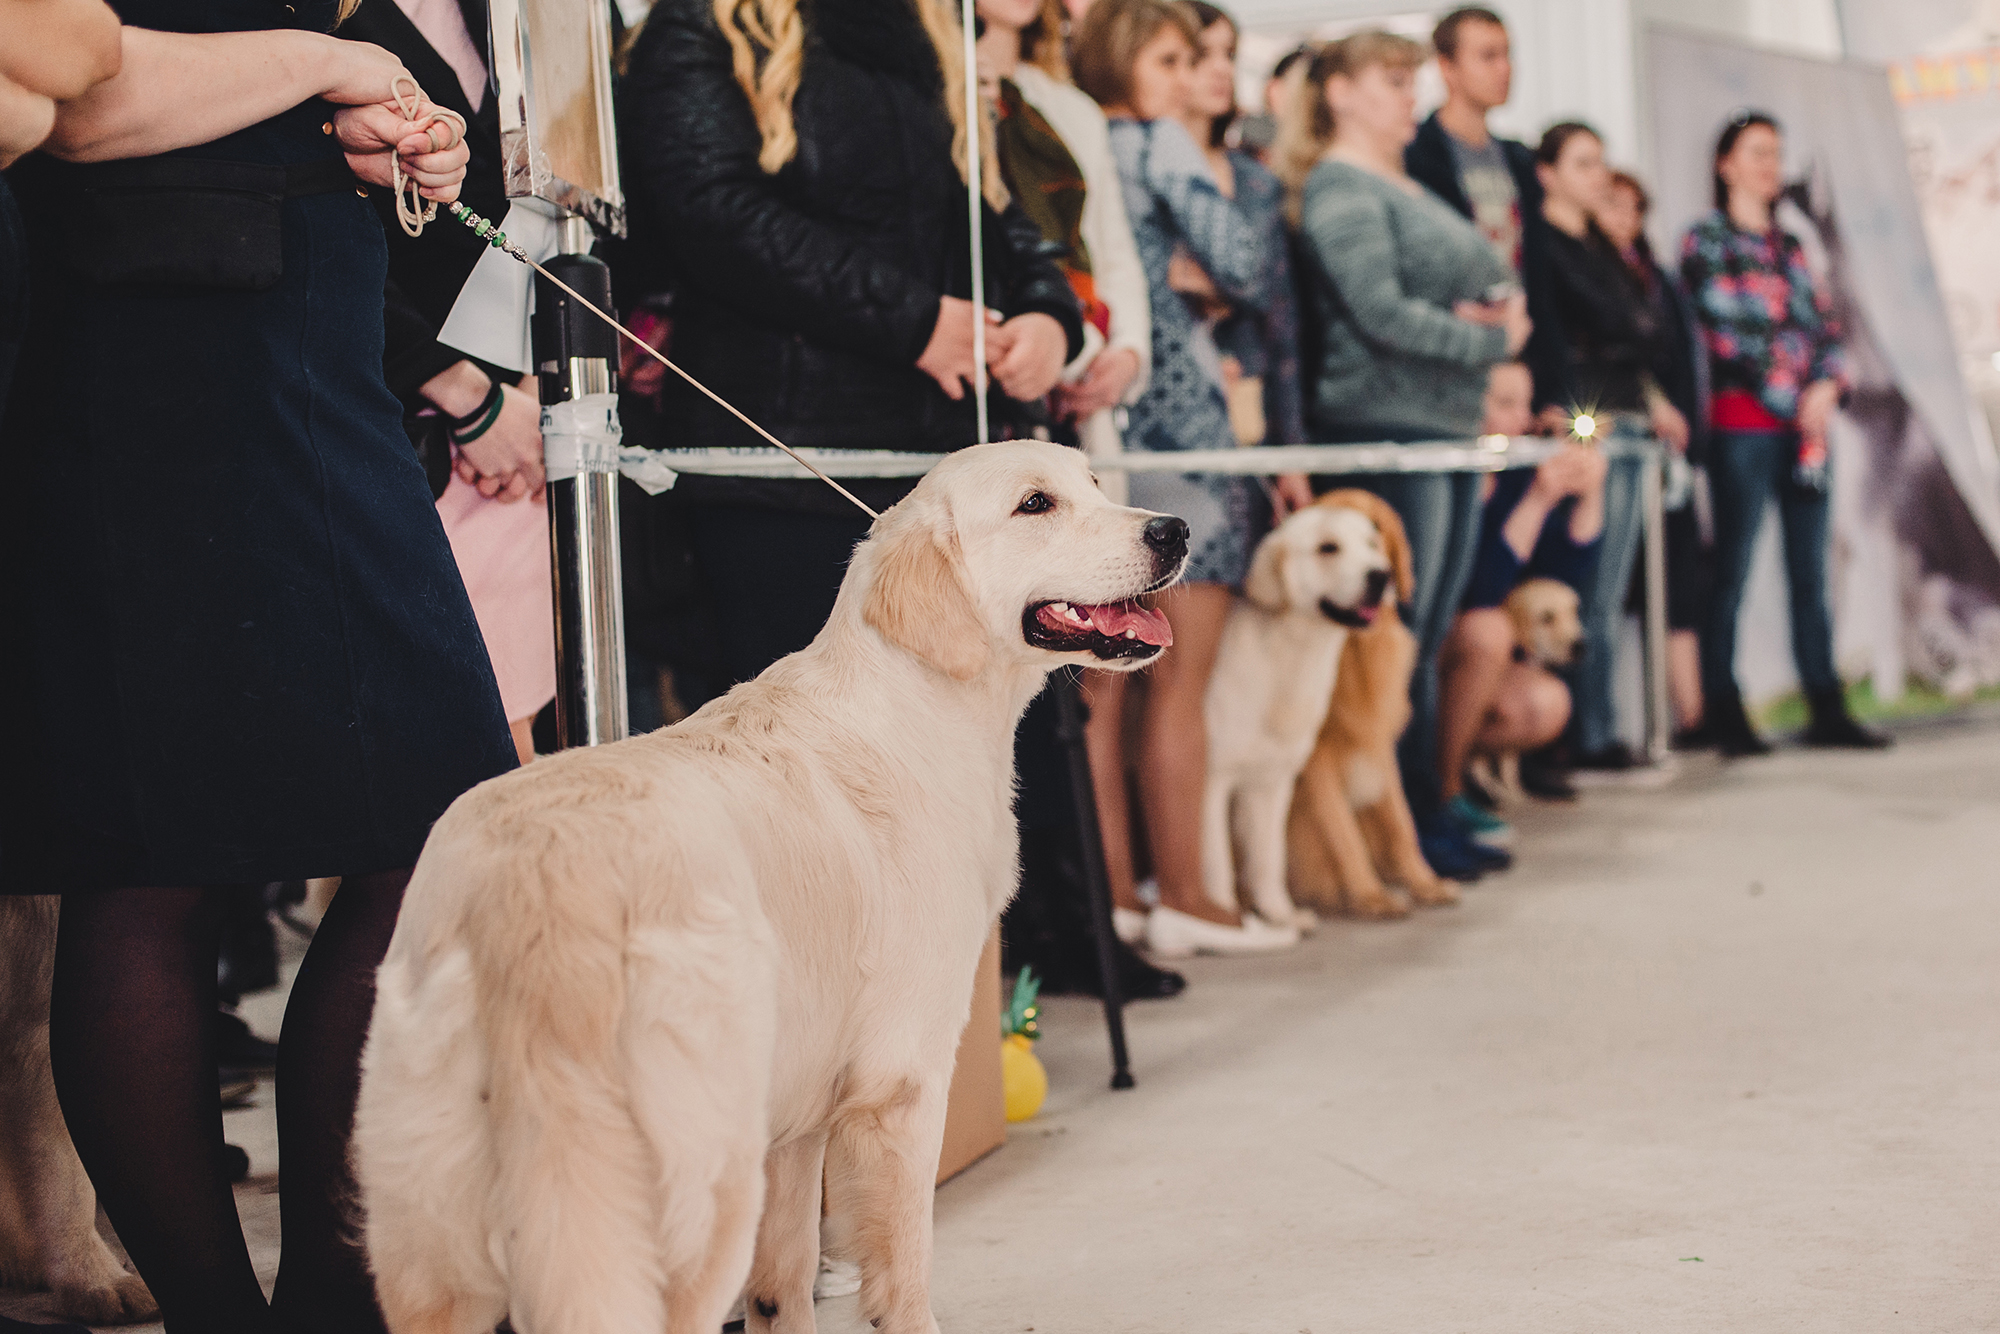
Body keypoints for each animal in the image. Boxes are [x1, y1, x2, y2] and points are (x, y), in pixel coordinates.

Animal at [354, 446, 1184, 1334]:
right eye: (1035, 504)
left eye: (1095, 483)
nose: (1173, 531)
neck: (917, 696)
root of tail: (530, 892)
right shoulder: (900, 1088)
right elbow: (905, 1276)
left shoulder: (796, 1127)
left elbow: (783, 1288)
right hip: (695, 1194)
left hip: (436, 1243)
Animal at [1192, 490, 1400, 940]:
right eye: (1328, 548)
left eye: (1371, 544)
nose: (1381, 576)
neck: (1289, 656)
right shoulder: (1212, 782)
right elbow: (1218, 865)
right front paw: (1231, 921)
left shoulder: (1273, 781)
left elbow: (1269, 858)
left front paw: (1280, 914)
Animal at [1280, 490, 1456, 920]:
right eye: (1329, 547)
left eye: (1375, 536)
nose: (1380, 576)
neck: (1350, 655)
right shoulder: (1317, 760)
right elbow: (1344, 832)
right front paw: (1369, 894)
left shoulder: (1378, 744)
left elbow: (1400, 823)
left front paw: (1424, 883)